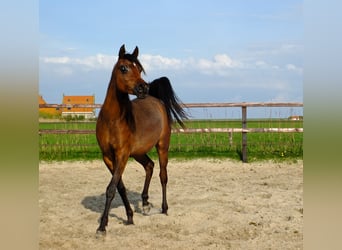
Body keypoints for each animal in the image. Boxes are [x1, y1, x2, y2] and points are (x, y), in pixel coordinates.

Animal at [95, 45, 187, 234]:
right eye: (124, 68)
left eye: (139, 68)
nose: (143, 88)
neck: (112, 120)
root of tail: (156, 100)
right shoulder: (108, 157)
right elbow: (120, 187)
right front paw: (129, 217)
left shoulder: (122, 155)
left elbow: (111, 188)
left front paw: (102, 226)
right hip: (138, 152)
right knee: (149, 166)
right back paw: (144, 203)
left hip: (162, 147)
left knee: (163, 175)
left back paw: (164, 208)